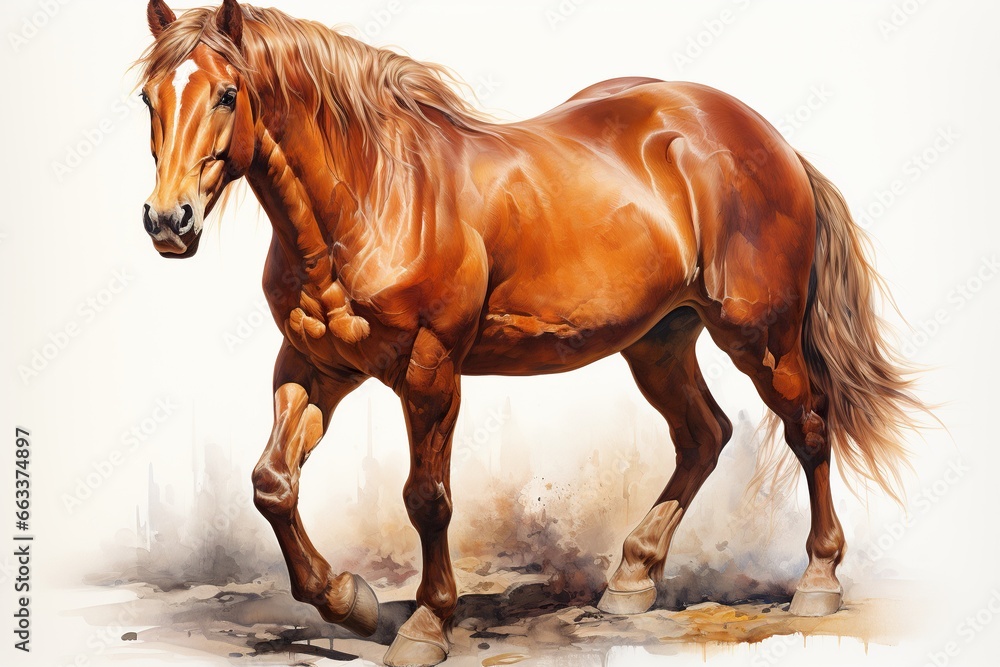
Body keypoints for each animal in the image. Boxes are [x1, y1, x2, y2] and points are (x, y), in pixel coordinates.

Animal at [135, 1, 925, 665]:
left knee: (809, 426)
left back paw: (818, 580)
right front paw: (349, 601)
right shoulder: (312, 364)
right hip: (659, 340)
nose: (168, 220)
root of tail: (768, 138)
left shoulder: (430, 370)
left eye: (226, 94)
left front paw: (426, 625)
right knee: (704, 434)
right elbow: (272, 483)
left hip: (759, 335)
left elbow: (427, 497)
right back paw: (631, 580)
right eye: (149, 98)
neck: (373, 195)